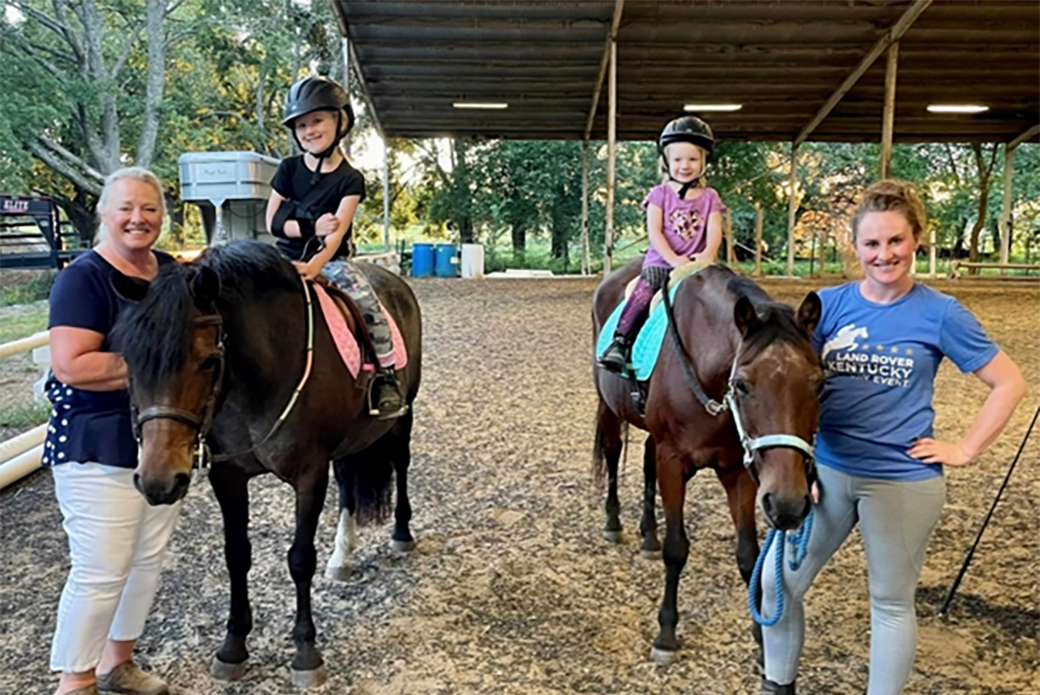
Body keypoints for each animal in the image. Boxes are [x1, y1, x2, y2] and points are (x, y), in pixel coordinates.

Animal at [111, 241, 420, 686]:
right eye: (130, 359)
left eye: (209, 360)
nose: (158, 481)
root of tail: (393, 279)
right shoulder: (228, 476)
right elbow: (236, 555)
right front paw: (233, 646)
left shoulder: (309, 475)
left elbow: (300, 559)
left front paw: (306, 652)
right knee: (348, 480)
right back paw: (342, 557)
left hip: (402, 417)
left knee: (401, 462)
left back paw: (401, 533)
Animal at [594, 260, 819, 661]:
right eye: (742, 384)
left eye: (819, 384)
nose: (789, 504)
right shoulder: (672, 461)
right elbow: (676, 549)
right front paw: (666, 633)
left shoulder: (739, 471)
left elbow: (748, 554)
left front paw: (761, 639)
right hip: (609, 407)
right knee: (614, 451)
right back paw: (614, 521)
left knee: (646, 458)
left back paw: (648, 533)